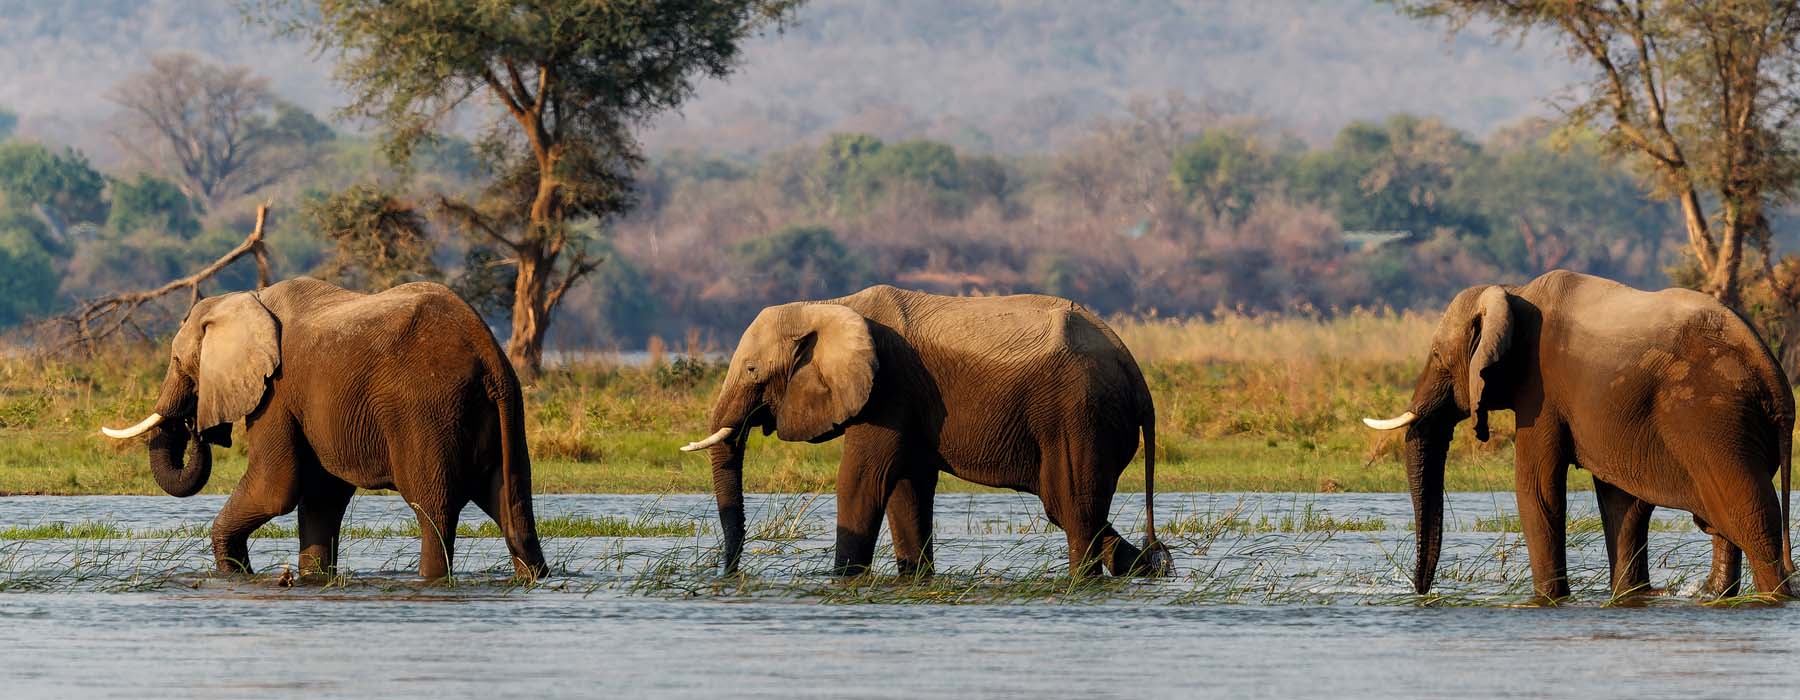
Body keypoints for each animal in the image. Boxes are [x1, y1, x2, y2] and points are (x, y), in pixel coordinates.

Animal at [98, 277, 543, 579]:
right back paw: (534, 577)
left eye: (176, 361)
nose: (196, 426)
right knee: (511, 503)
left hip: (428, 413)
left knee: (434, 510)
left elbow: (275, 488)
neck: (247, 299)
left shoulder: (276, 392)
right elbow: (321, 495)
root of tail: (488, 352)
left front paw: (234, 576)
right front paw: (313, 579)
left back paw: (432, 579)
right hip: (503, 414)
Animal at [680, 280, 1173, 575]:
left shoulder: (889, 389)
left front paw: (843, 581)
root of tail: (1134, 369)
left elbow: (863, 480)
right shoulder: (908, 402)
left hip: (1078, 416)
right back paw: (1155, 569)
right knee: (1074, 511)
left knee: (1072, 509)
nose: (729, 574)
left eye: (751, 371)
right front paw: (915, 580)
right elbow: (906, 487)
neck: (831, 306)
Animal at [1368, 268, 1792, 601]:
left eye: (1437, 355)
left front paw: (1549, 600)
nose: (1422, 591)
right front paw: (1627, 597)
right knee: (1722, 521)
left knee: (1750, 516)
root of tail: (1773, 375)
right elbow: (1622, 502)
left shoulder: (1542, 391)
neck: (1512, 290)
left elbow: (1537, 489)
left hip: (1712, 418)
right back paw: (1716, 595)